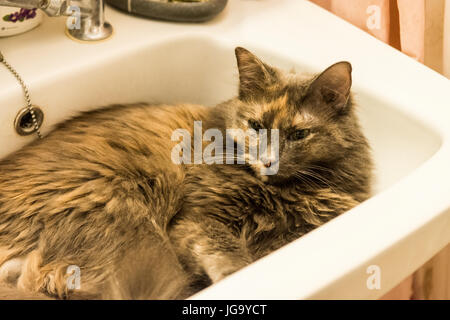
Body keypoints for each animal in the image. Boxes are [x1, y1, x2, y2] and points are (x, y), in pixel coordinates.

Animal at [0, 48, 372, 300]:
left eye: (298, 134)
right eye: (256, 126)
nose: (268, 162)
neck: (284, 194)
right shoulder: (196, 220)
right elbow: (228, 254)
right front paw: (236, 276)